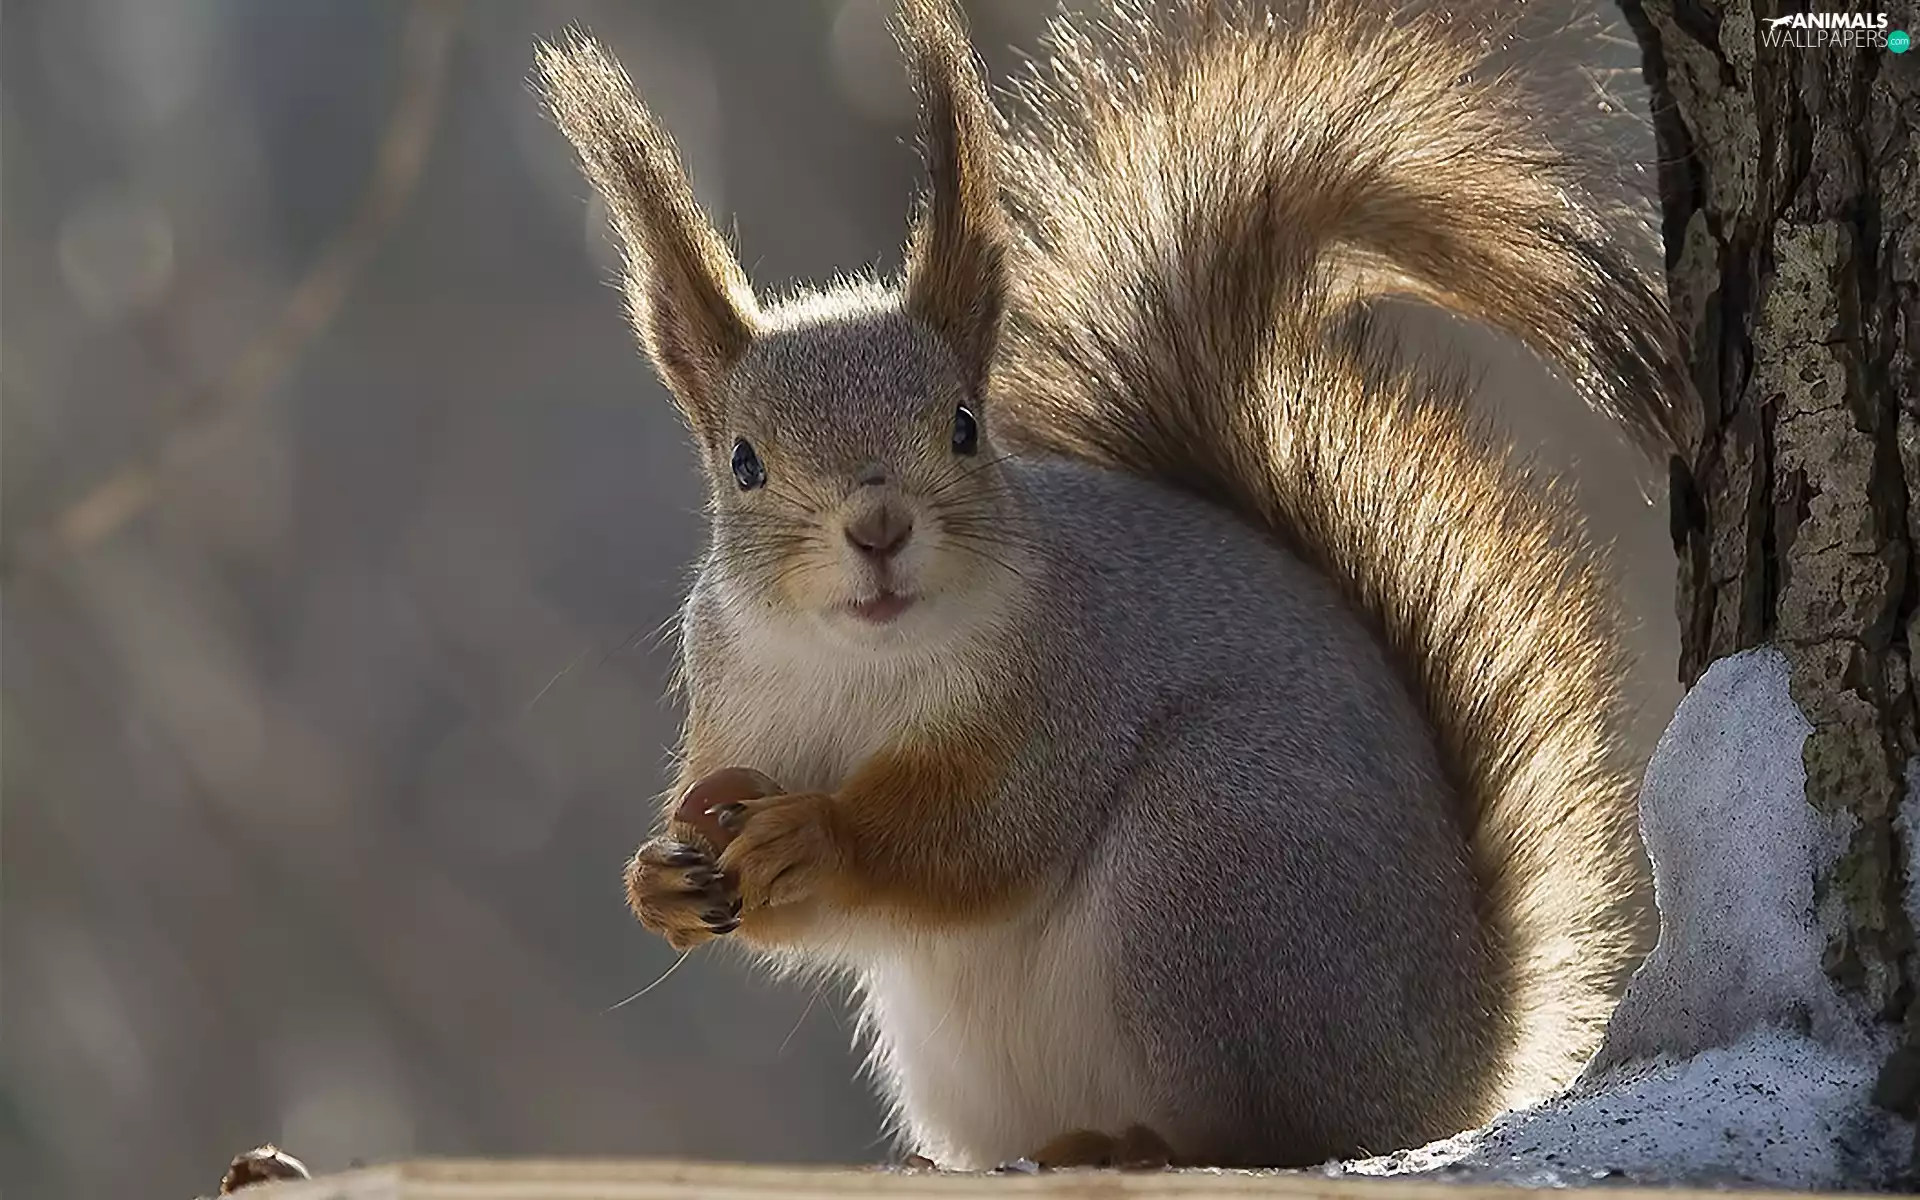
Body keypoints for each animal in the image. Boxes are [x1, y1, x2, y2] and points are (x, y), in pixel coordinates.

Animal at [536, 0, 1692, 1172]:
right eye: (744, 461)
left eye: (964, 426)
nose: (878, 527)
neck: (861, 664)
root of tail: (1462, 1058)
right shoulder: (738, 706)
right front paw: (660, 880)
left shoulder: (1066, 686)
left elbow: (981, 838)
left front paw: (823, 835)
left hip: (1211, 864)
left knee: (1273, 1127)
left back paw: (1135, 1143)